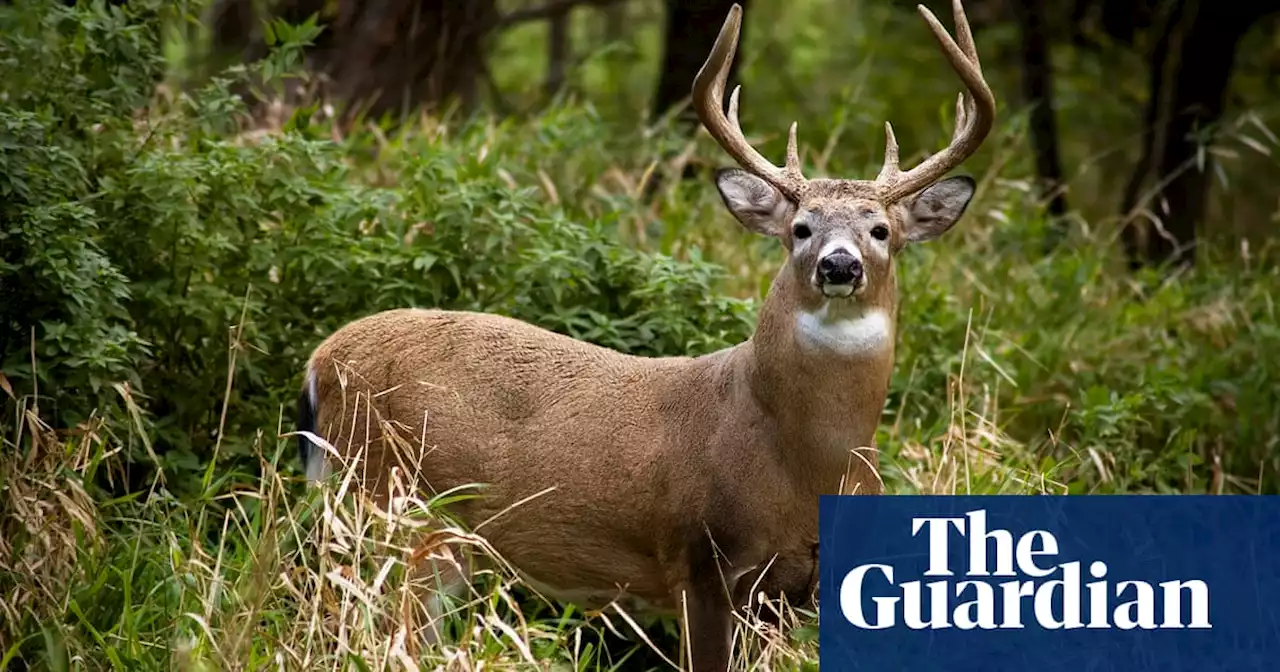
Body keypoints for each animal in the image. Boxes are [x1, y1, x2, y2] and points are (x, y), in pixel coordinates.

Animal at [294, 0, 993, 665]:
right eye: (800, 228)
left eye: (881, 230)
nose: (839, 265)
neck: (804, 462)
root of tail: (321, 360)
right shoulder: (699, 558)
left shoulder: (802, 589)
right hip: (392, 502)